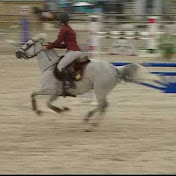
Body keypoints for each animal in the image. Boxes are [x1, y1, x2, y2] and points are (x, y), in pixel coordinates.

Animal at [15, 34, 161, 131]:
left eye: (27, 44)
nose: (17, 53)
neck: (49, 66)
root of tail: (115, 69)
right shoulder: (54, 93)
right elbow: (43, 100)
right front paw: (57, 109)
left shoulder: (50, 90)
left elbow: (38, 97)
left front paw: (44, 110)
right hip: (101, 91)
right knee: (104, 106)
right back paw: (92, 122)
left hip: (99, 90)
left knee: (102, 105)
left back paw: (89, 122)